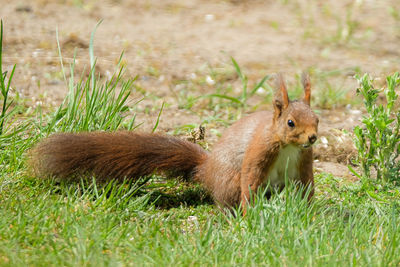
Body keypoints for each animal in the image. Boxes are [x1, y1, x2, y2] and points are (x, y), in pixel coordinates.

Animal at [28, 73, 318, 214]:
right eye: (290, 123)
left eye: (317, 118)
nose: (313, 137)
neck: (289, 146)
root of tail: (206, 171)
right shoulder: (260, 150)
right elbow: (251, 179)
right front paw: (250, 216)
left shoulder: (303, 161)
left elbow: (306, 186)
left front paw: (309, 214)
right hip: (228, 181)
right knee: (228, 198)